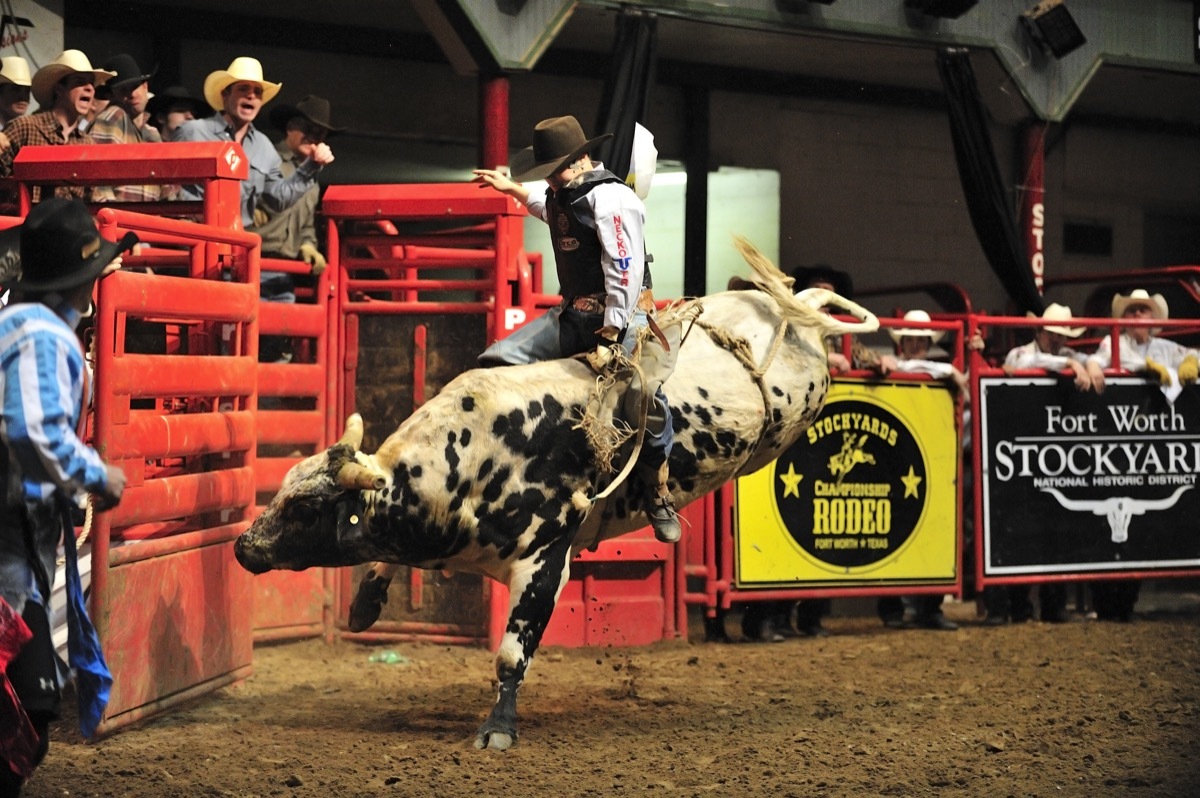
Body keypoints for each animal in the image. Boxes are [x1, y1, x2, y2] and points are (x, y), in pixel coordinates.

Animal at [234, 236, 878, 748]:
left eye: (307, 509)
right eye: (284, 488)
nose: (244, 547)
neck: (474, 457)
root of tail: (799, 316)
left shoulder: (544, 561)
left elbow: (510, 654)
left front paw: (498, 730)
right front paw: (366, 602)